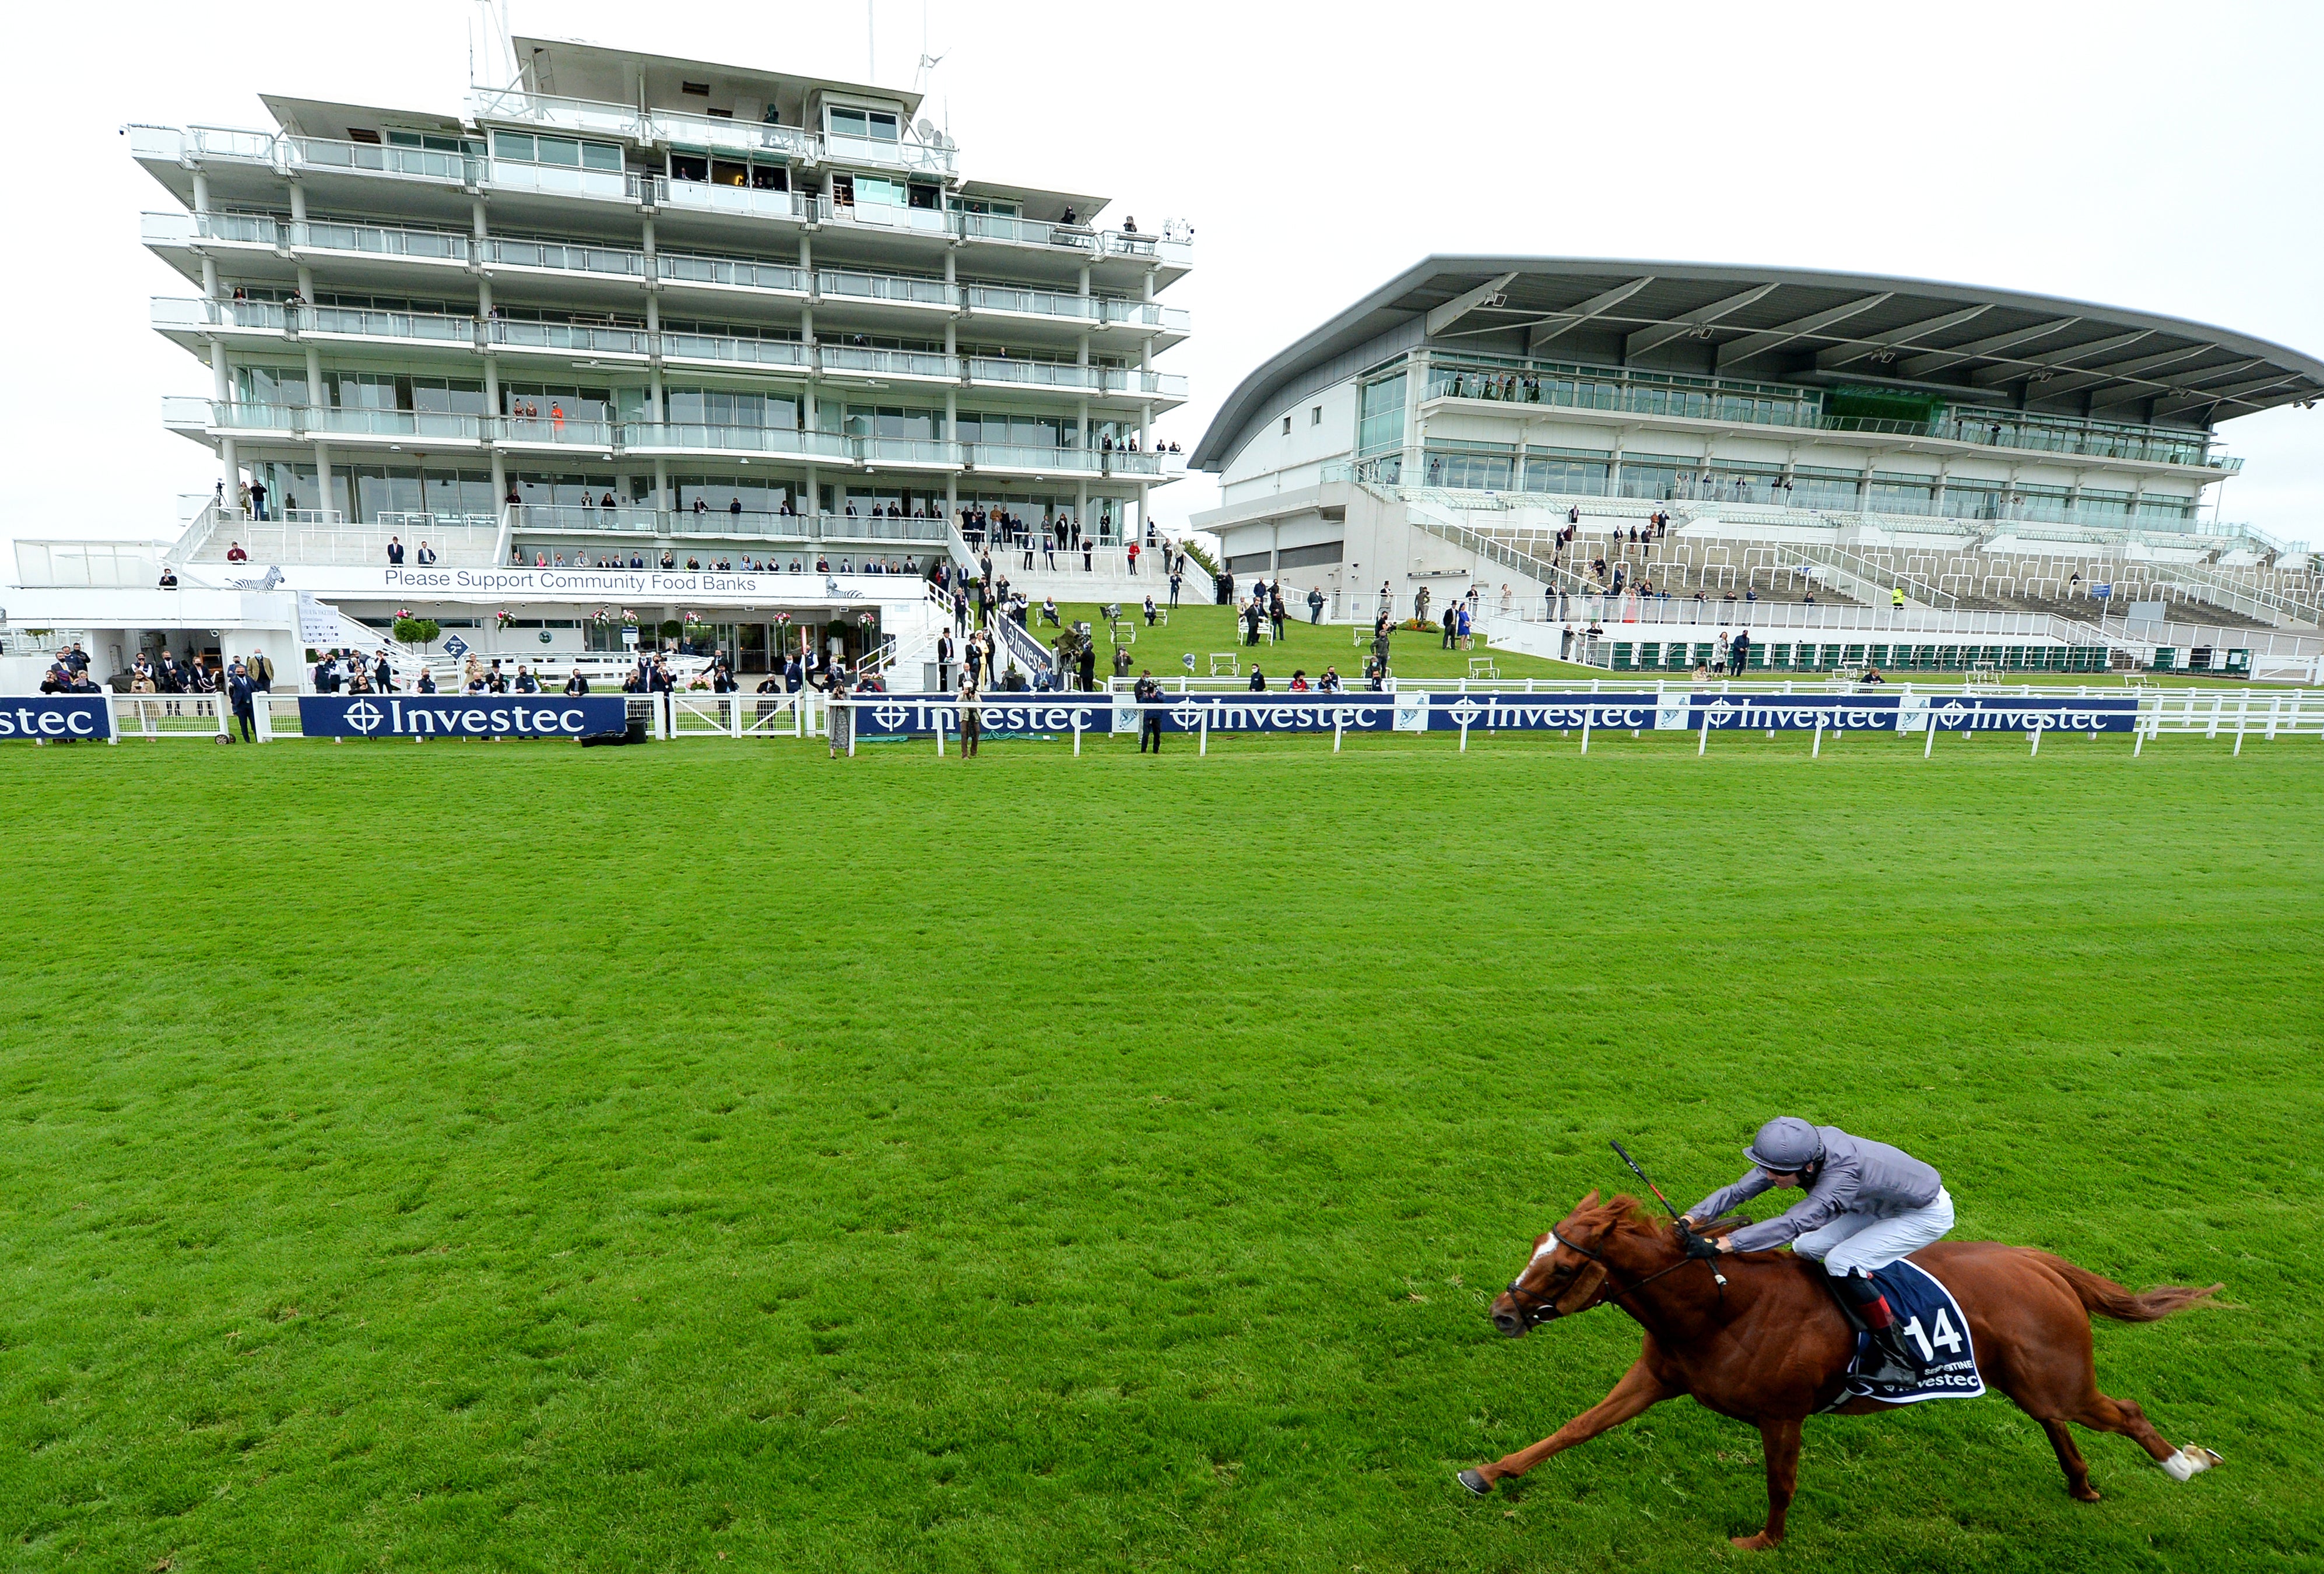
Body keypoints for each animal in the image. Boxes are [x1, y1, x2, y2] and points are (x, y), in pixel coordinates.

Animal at [1459, 1190, 2221, 1544]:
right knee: (2056, 1423)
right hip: (2031, 1380)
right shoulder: (1655, 1378)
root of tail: (2037, 1260)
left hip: (2059, 1377)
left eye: (1560, 1267)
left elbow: (1780, 1483)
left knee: (2120, 1412)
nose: (1502, 1313)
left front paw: (1763, 1541)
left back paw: (2183, 1464)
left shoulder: (1780, 1413)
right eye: (1536, 1248)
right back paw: (2081, 1484)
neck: (1719, 1305)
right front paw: (1486, 1473)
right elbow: (1575, 1428)